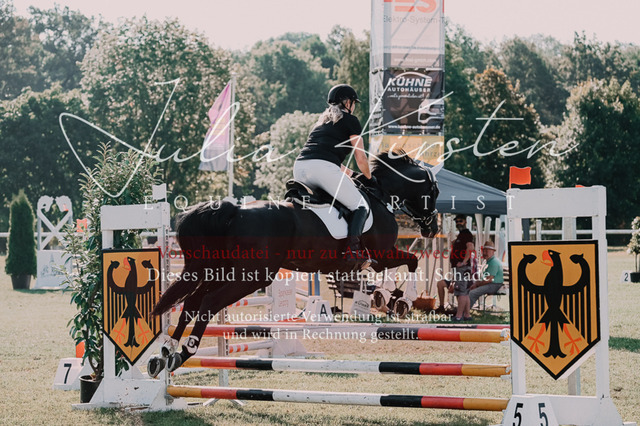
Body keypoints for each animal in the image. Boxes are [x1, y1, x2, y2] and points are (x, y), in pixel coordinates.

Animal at [148, 150, 439, 375]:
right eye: (434, 190)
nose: (431, 228)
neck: (380, 195)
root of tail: (235, 211)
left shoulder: (379, 258)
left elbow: (403, 265)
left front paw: (384, 295)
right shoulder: (382, 255)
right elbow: (412, 261)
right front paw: (400, 299)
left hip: (222, 271)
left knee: (192, 301)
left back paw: (165, 353)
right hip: (252, 276)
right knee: (208, 302)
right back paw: (185, 351)